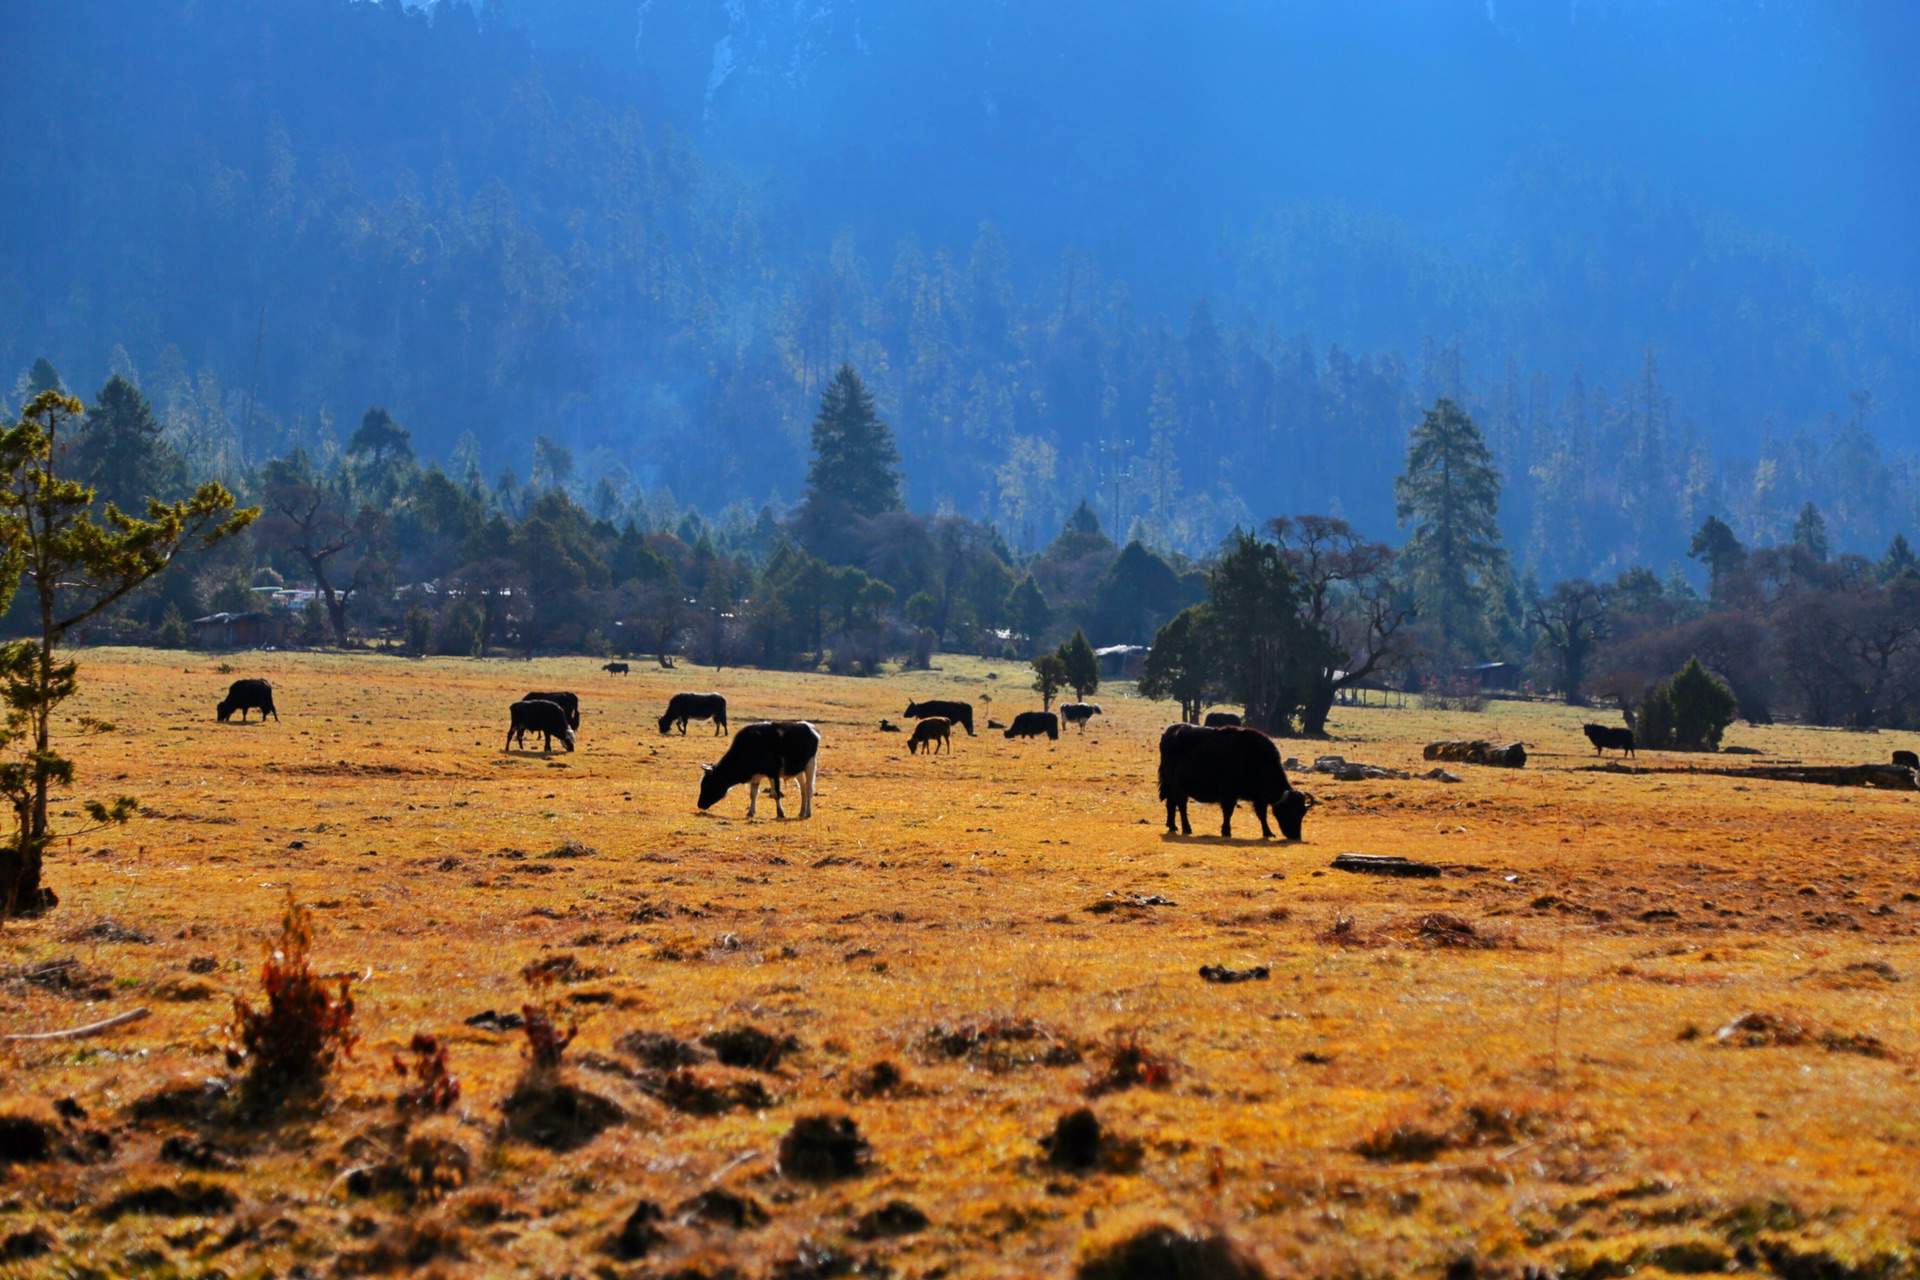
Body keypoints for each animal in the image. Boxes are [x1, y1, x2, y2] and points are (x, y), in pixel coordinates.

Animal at [1152, 725, 1305, 844]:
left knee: (1171, 803)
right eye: (1290, 810)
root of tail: (1168, 733)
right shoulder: (1230, 794)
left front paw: (1268, 832)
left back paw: (1172, 826)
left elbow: (1262, 815)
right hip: (1178, 787)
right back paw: (1186, 828)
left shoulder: (1259, 799)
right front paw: (1226, 831)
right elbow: (1228, 812)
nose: (1296, 836)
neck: (1257, 759)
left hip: (1171, 786)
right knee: (1181, 805)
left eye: (1302, 812)